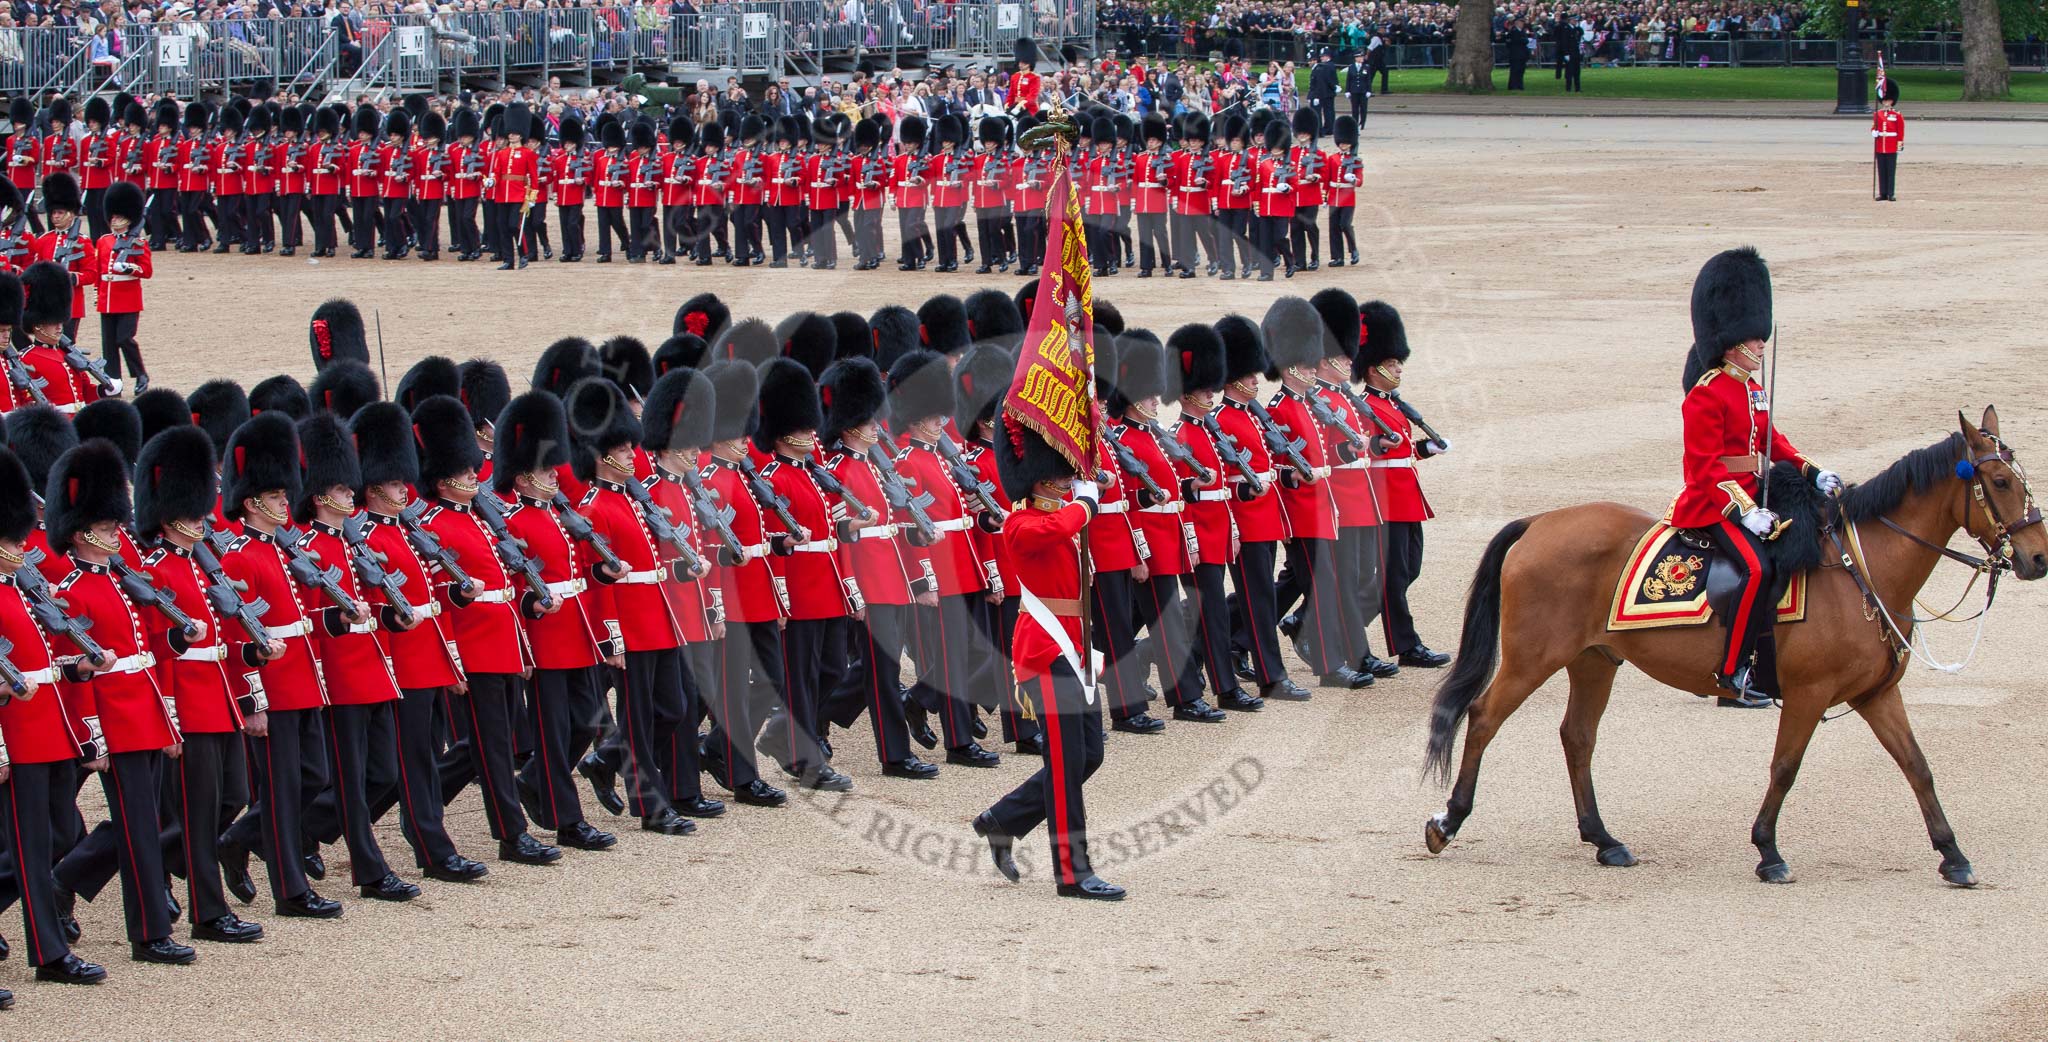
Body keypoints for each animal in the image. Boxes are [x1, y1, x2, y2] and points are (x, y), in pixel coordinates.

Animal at [1425, 407, 2048, 884]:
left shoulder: (1876, 694)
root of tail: (1539, 521)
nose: (2039, 557)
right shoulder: (1808, 693)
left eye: (2022, 479)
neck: (1862, 570)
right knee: (1483, 717)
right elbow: (1785, 767)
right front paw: (1768, 850)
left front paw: (1953, 855)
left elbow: (1918, 767)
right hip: (1533, 659)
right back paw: (1448, 820)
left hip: (1594, 661)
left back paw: (1604, 839)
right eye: (1999, 483)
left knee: (1577, 737)